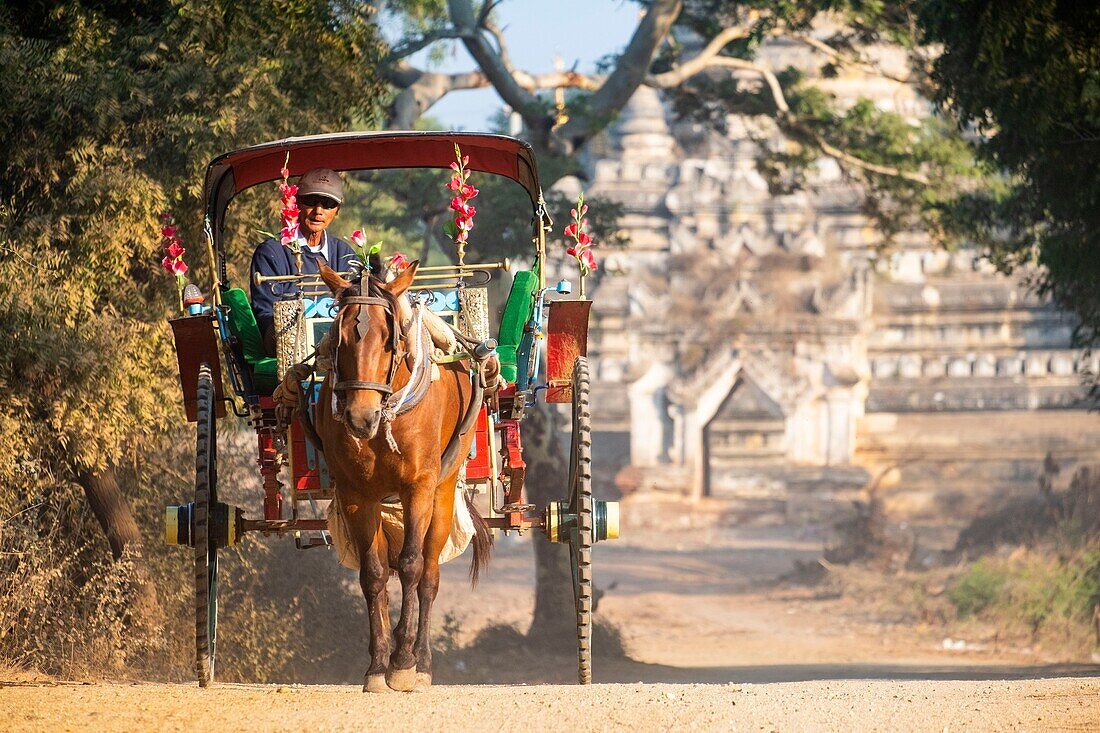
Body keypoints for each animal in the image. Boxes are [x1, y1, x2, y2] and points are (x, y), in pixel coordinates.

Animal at [316, 258, 492, 691]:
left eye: (389, 339)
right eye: (337, 339)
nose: (360, 418)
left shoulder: (419, 487)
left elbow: (412, 565)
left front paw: (403, 662)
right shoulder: (356, 494)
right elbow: (374, 573)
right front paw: (379, 663)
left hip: (443, 490)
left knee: (428, 574)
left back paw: (421, 659)